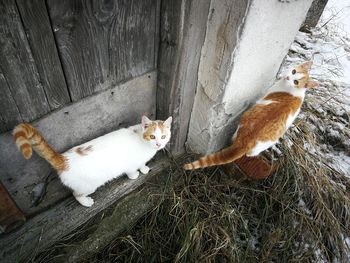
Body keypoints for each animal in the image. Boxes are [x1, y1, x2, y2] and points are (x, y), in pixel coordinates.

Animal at [13, 116, 172, 207]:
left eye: (163, 137)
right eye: (152, 136)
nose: (159, 144)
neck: (141, 141)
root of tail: (64, 158)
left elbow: (142, 164)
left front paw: (144, 168)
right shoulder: (129, 164)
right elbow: (132, 170)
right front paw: (135, 175)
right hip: (88, 186)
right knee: (76, 194)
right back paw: (86, 202)